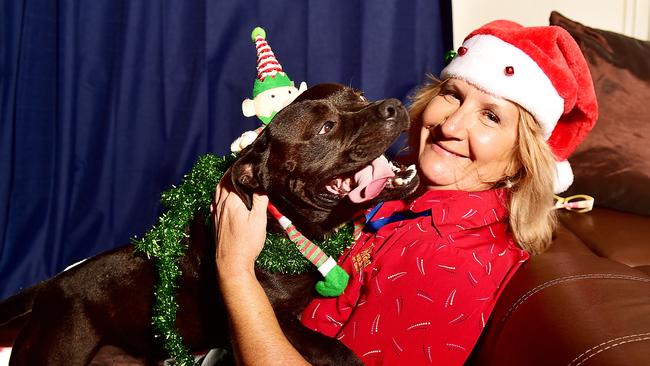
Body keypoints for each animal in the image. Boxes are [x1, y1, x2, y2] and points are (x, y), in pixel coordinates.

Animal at [0, 84, 416, 364]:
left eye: (359, 96)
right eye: (326, 128)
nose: (393, 106)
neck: (291, 228)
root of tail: (49, 289)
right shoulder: (278, 321)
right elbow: (334, 348)